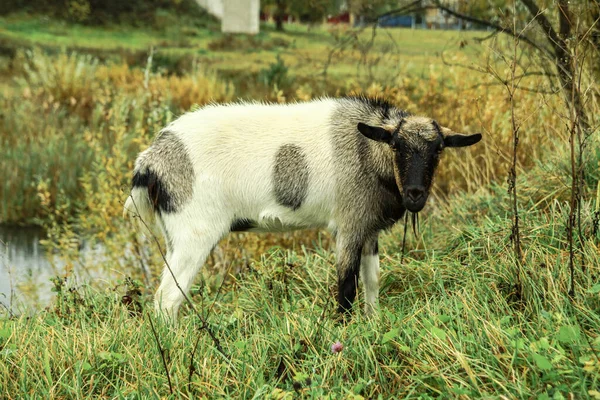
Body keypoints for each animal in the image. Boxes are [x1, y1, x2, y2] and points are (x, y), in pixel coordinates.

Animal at [123, 97, 482, 318]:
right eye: (396, 145)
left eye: (438, 149)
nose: (415, 195)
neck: (367, 150)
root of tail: (151, 159)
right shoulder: (348, 225)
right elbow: (347, 287)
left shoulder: (367, 228)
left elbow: (372, 282)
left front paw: (373, 323)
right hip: (194, 233)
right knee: (167, 299)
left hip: (175, 236)